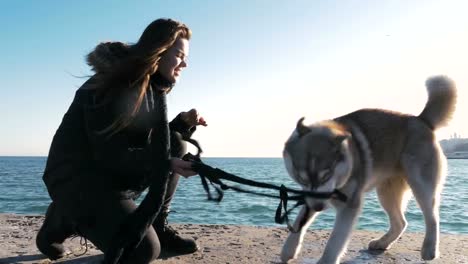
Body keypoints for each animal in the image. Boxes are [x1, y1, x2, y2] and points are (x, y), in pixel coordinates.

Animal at [280, 76, 456, 264]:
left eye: (327, 175)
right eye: (302, 178)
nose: (319, 207)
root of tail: (420, 120)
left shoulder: (349, 204)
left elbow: (335, 241)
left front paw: (327, 259)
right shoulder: (311, 196)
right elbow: (300, 221)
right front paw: (289, 249)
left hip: (421, 184)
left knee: (432, 216)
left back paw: (430, 249)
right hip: (387, 192)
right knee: (401, 223)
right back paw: (382, 243)